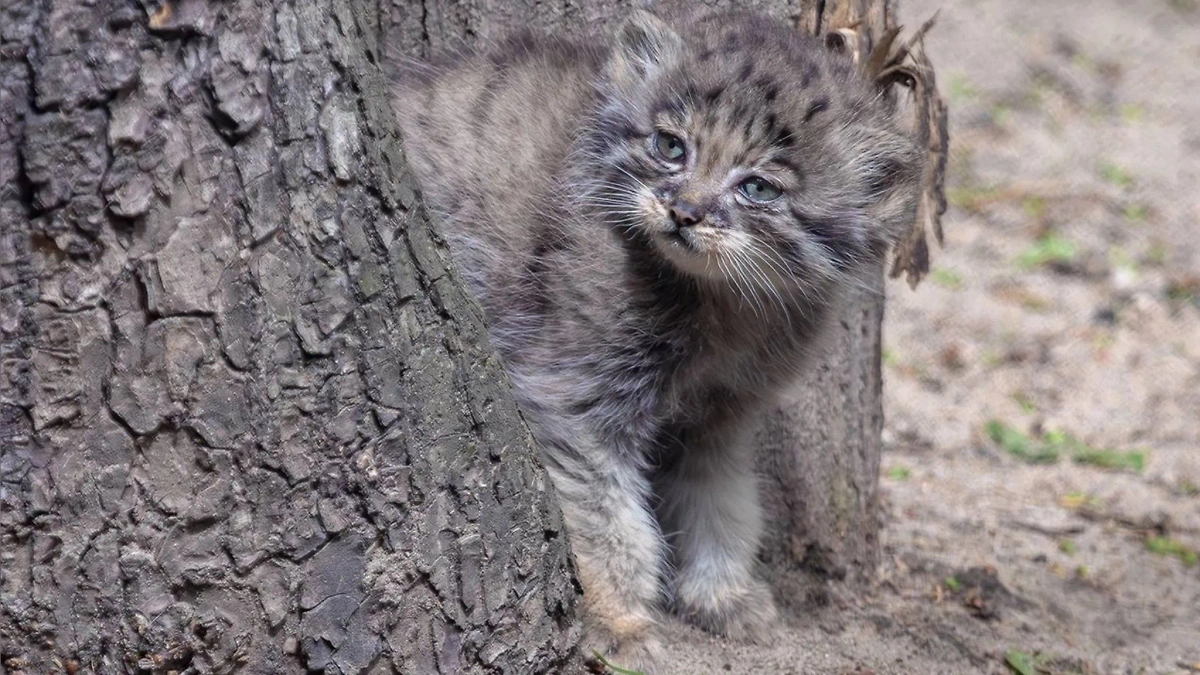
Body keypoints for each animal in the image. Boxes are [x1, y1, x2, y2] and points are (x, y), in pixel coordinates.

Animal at [393, 2, 916, 658]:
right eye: (670, 146)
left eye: (758, 188)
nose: (683, 212)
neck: (725, 307)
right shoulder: (577, 396)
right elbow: (608, 518)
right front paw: (617, 619)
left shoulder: (722, 415)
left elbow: (722, 502)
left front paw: (722, 594)